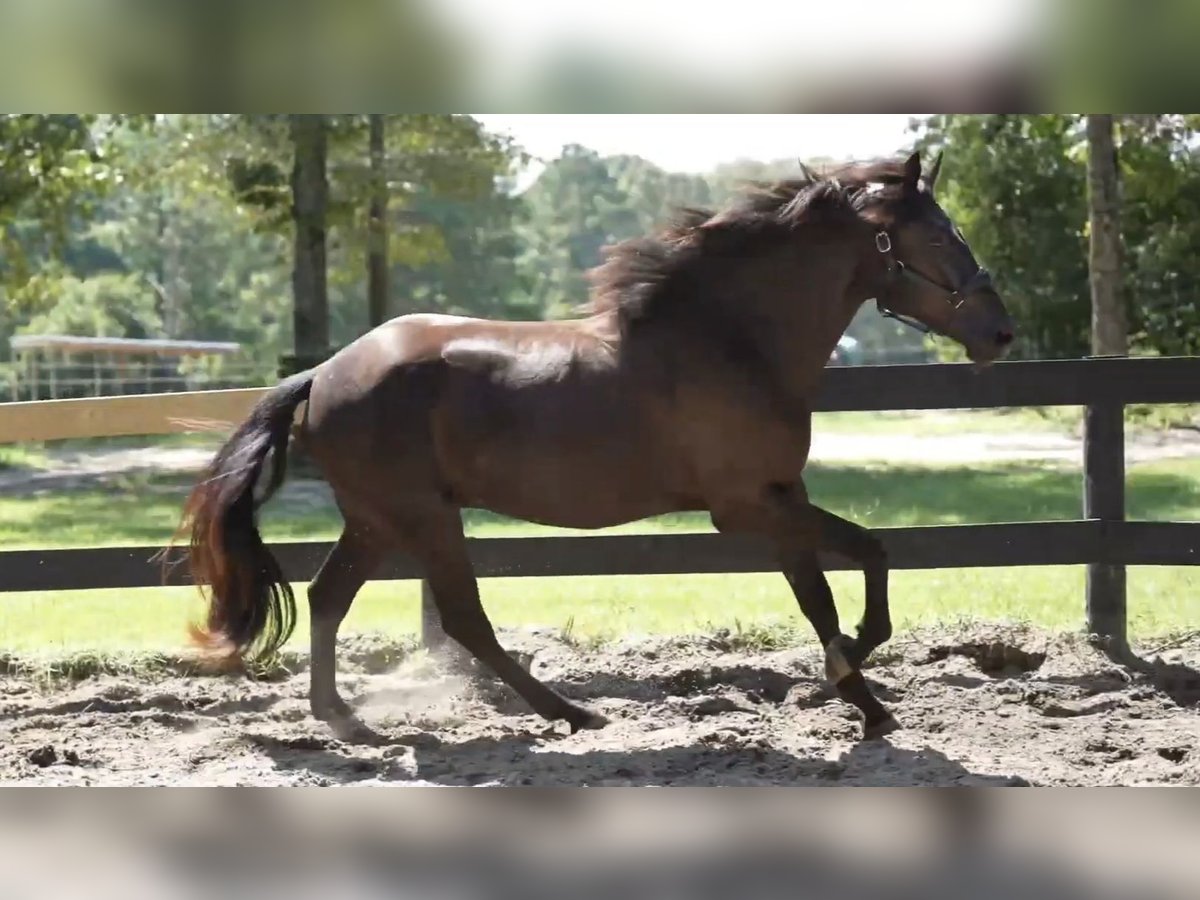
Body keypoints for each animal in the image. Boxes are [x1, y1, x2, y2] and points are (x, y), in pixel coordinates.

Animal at [175, 153, 1012, 739]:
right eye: (941, 233)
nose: (1000, 332)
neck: (734, 338)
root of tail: (323, 374)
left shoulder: (782, 498)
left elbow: (829, 587)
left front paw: (850, 695)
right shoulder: (746, 505)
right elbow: (861, 564)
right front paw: (849, 685)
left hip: (379, 521)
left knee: (329, 598)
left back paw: (346, 720)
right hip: (421, 517)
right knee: (461, 618)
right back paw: (572, 714)